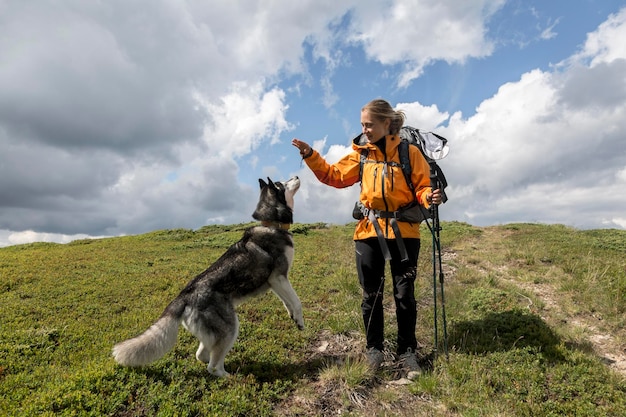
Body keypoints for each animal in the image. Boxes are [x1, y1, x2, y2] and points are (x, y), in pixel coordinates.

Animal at [114, 176, 304, 376]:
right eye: (282, 184)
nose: (297, 176)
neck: (271, 225)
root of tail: (184, 296)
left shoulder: (275, 282)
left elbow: (287, 302)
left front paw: (293, 318)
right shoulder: (279, 277)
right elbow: (297, 301)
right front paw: (300, 320)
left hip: (213, 332)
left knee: (202, 354)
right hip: (230, 328)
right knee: (212, 366)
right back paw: (229, 377)